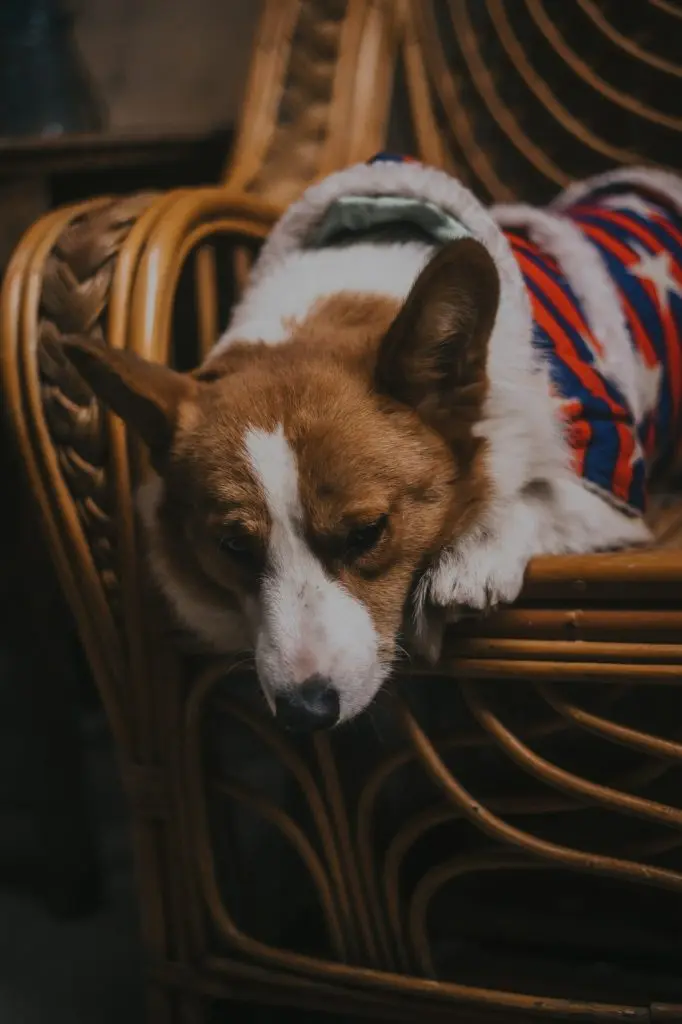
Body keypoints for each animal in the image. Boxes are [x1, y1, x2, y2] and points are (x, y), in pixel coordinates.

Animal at [63, 153, 679, 729]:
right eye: (233, 546)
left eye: (368, 533)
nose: (305, 713)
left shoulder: (607, 476)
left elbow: (538, 493)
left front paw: (472, 555)